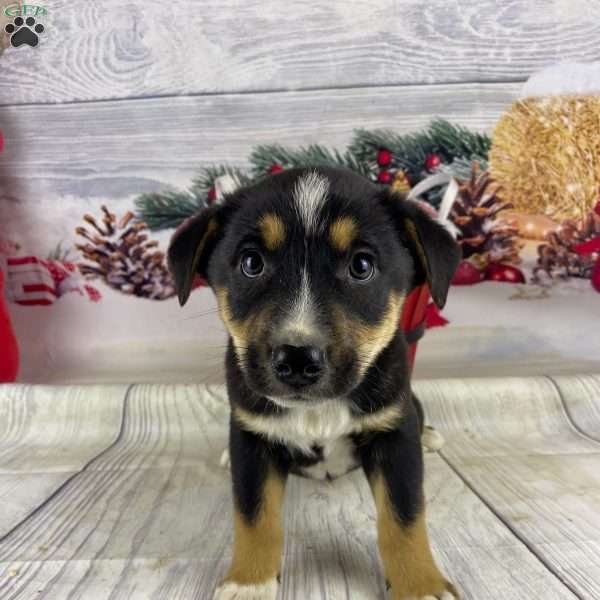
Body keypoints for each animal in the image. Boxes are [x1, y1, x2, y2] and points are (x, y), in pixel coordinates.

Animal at [168, 166, 460, 596]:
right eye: (251, 262)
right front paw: (250, 582)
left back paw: (431, 435)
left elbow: (404, 517)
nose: (297, 359)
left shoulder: (393, 434)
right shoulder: (253, 440)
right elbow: (254, 516)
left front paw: (420, 585)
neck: (318, 411)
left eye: (361, 266)